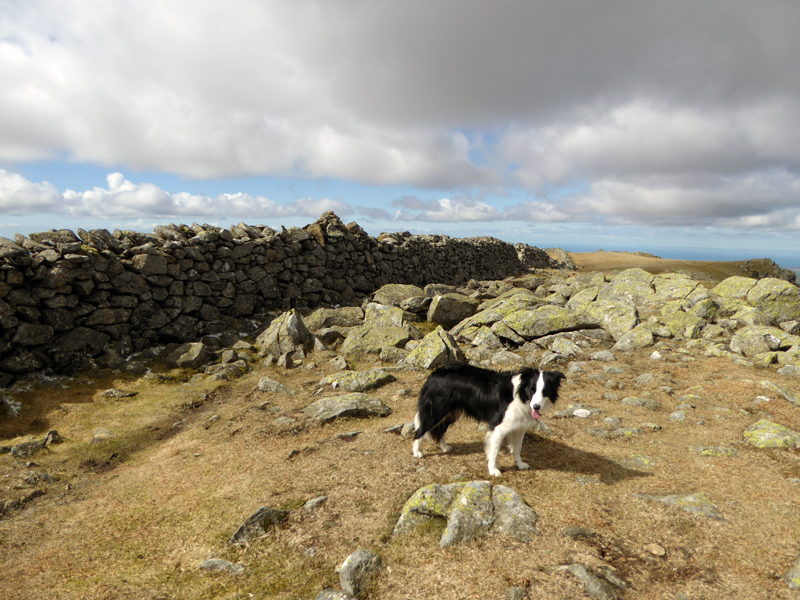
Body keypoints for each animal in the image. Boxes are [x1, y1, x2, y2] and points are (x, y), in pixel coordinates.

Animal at [412, 364, 568, 476]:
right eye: (531, 390)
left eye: (544, 391)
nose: (536, 406)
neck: (520, 395)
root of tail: (434, 374)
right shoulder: (498, 427)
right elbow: (494, 451)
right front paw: (493, 470)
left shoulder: (519, 427)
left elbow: (517, 448)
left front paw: (520, 464)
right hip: (436, 412)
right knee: (420, 430)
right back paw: (417, 452)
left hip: (450, 413)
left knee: (441, 429)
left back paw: (444, 447)